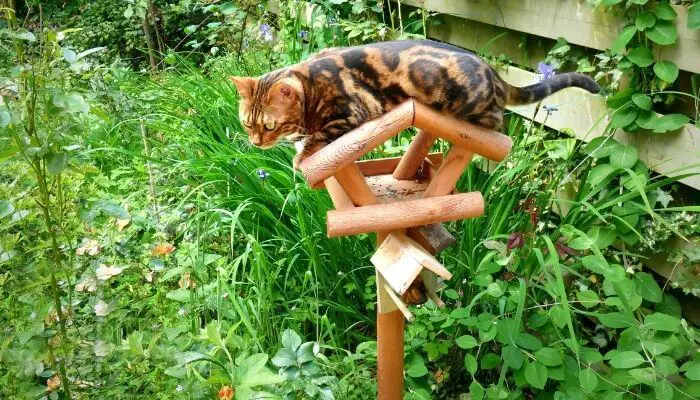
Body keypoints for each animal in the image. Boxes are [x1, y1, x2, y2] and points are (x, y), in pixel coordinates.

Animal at [228, 38, 596, 168]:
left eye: (269, 125)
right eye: (247, 123)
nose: (255, 142)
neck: (310, 82)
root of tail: (492, 72)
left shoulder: (351, 112)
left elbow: (317, 138)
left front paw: (301, 155)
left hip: (471, 105)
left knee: (499, 122)